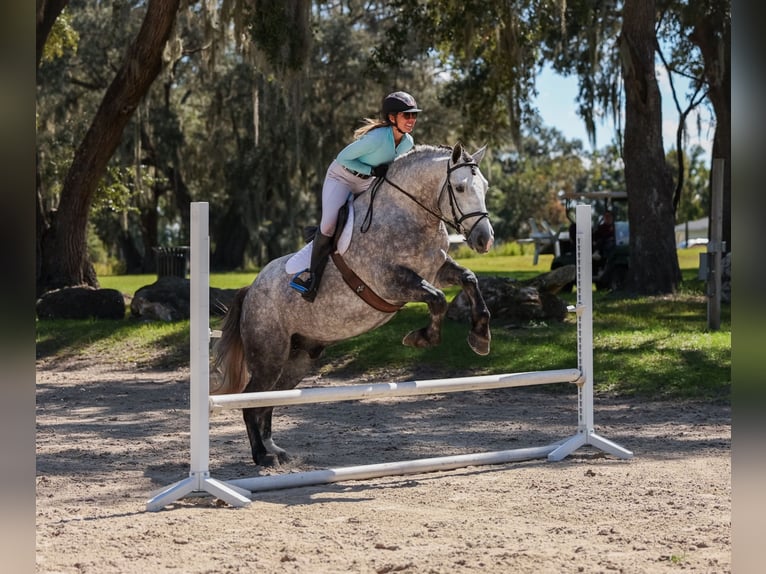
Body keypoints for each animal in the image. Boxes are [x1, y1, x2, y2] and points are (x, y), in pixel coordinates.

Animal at [212, 142, 495, 467]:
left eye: (485, 186)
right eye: (459, 187)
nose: (485, 240)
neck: (410, 215)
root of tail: (251, 291)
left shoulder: (437, 270)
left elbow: (469, 279)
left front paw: (480, 336)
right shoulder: (390, 283)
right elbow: (436, 299)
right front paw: (422, 337)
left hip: (298, 359)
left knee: (268, 400)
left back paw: (274, 449)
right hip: (268, 356)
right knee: (250, 400)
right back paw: (261, 456)